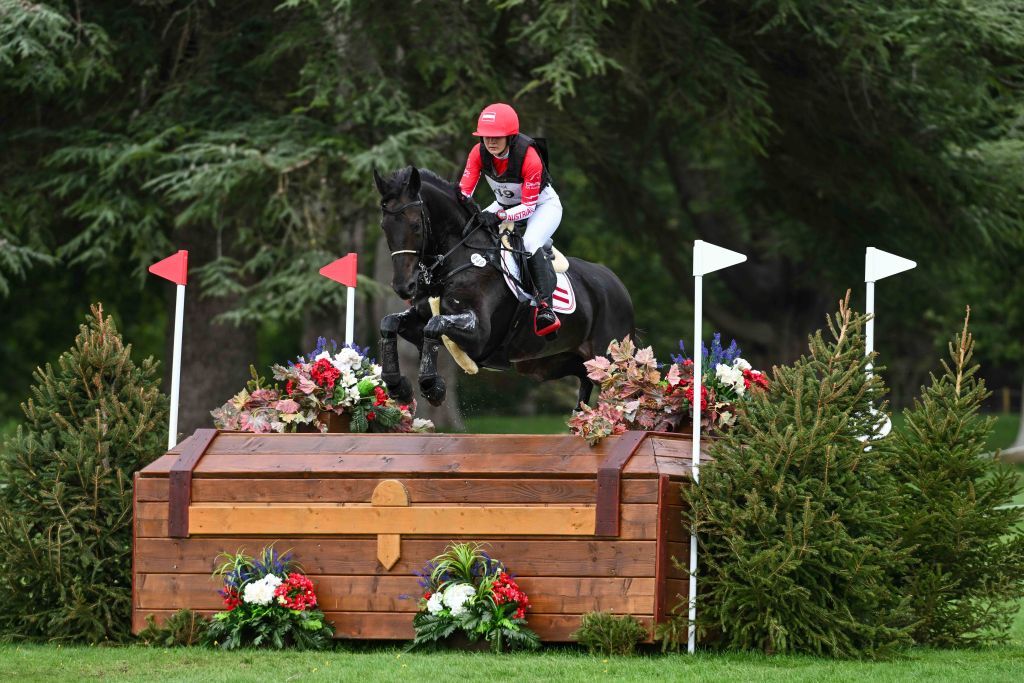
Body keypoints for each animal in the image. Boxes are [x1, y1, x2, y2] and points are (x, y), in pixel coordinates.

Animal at [373, 165, 634, 408]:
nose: (404, 287)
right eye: (384, 226)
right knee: (585, 386)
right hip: (559, 363)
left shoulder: (480, 335)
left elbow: (434, 326)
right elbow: (390, 323)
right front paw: (399, 387)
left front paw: (432, 387)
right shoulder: (420, 316)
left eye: (416, 225)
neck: (460, 258)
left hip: (610, 358)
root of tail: (618, 285)